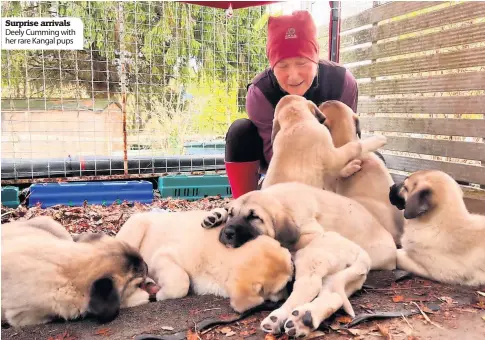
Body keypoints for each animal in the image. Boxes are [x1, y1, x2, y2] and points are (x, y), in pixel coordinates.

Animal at [115, 210, 294, 314]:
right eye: (281, 287)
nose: (292, 284)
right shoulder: (162, 256)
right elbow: (181, 281)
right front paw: (161, 295)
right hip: (134, 230)